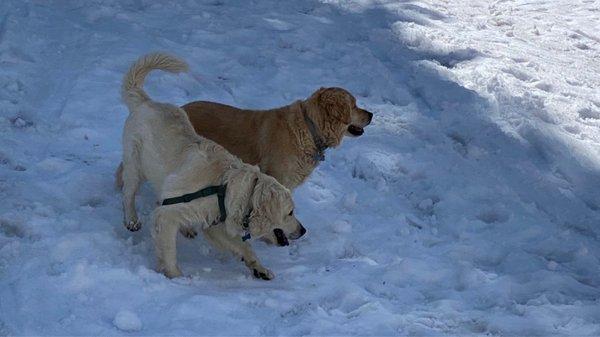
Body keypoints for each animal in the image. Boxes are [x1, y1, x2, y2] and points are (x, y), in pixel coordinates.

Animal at [119, 52, 304, 278]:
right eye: (290, 212)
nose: (303, 231)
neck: (225, 186)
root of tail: (146, 102)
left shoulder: (215, 223)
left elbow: (244, 247)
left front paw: (259, 268)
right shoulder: (167, 216)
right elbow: (169, 249)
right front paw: (175, 277)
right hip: (135, 165)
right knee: (128, 193)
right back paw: (131, 219)